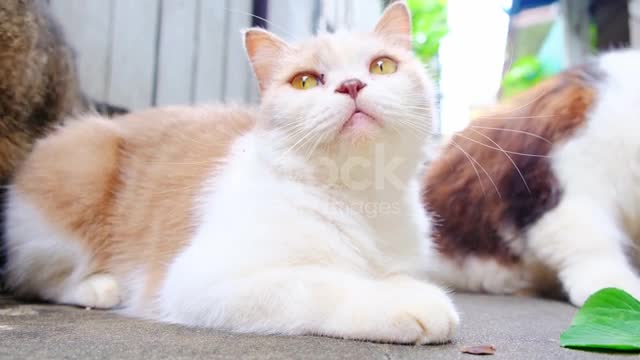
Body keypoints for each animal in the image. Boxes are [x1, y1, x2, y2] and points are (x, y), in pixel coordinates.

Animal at [2, 3, 458, 346]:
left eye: (381, 67)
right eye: (305, 81)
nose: (351, 85)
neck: (359, 195)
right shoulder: (199, 280)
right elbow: (318, 282)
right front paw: (404, 302)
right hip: (83, 167)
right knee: (37, 277)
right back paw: (99, 286)